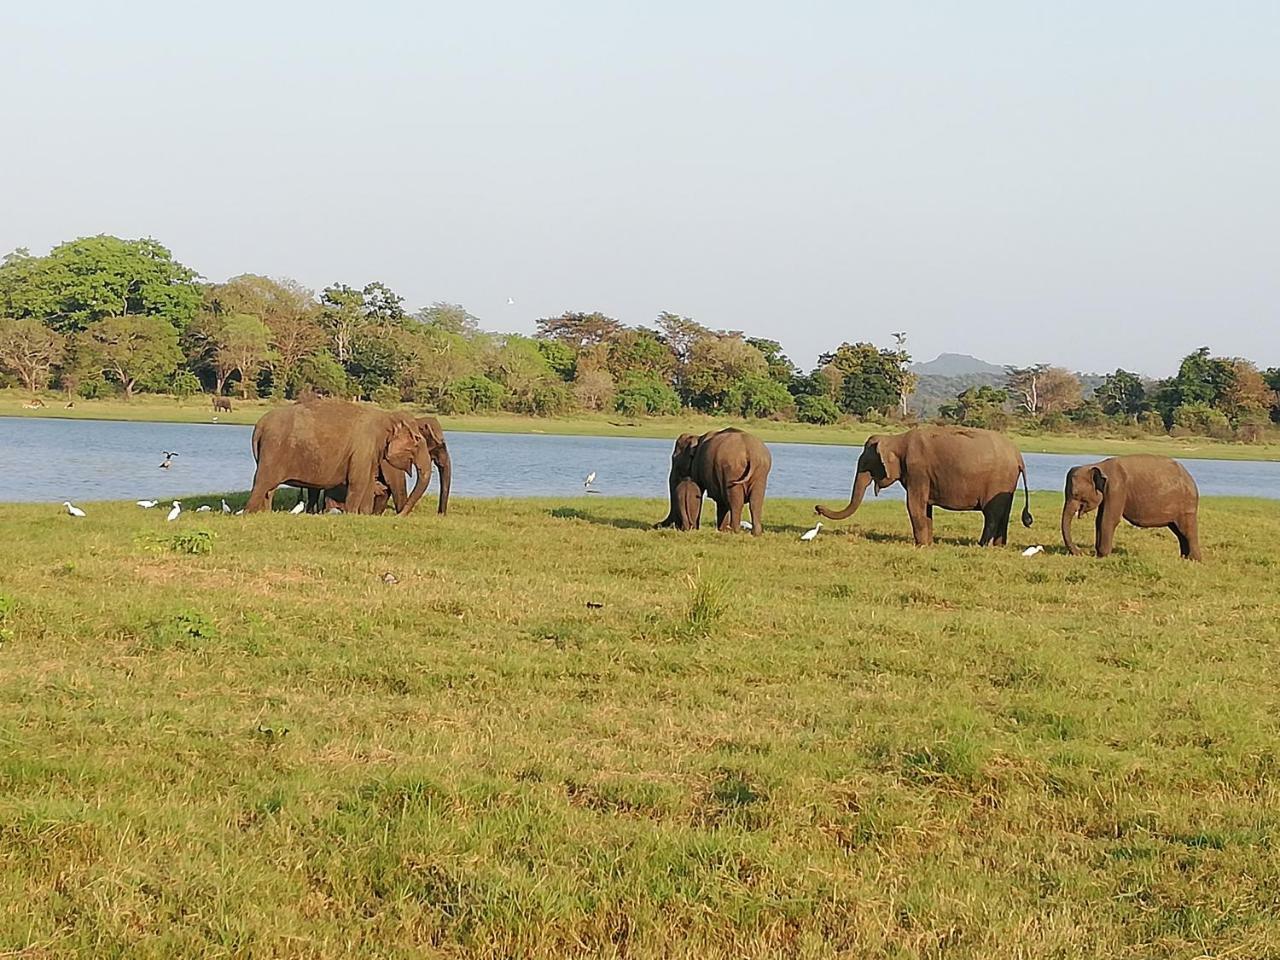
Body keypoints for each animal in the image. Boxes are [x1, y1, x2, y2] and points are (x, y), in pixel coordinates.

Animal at [247, 399, 427, 514]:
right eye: (417, 440)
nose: (399, 515)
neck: (386, 416)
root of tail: (259, 426)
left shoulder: (369, 452)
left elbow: (368, 482)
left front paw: (363, 514)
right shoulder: (362, 448)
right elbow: (358, 482)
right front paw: (351, 514)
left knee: (269, 489)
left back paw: (265, 513)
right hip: (273, 450)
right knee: (262, 482)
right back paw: (250, 513)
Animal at [814, 424, 1034, 545]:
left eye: (865, 465)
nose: (817, 508)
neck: (897, 439)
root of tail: (1019, 456)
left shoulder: (917, 470)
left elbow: (914, 505)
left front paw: (920, 545)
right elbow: (925, 508)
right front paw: (928, 544)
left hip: (997, 480)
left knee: (992, 515)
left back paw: (982, 545)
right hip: (1007, 483)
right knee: (1003, 514)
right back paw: (998, 546)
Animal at [1059, 455, 1198, 560]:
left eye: (1076, 494)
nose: (1082, 552)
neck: (1098, 465)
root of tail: (1191, 478)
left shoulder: (1116, 489)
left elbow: (1109, 519)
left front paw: (1102, 556)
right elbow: (1099, 520)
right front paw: (1099, 554)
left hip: (1186, 506)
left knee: (1186, 530)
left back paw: (1193, 560)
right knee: (1179, 532)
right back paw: (1184, 558)